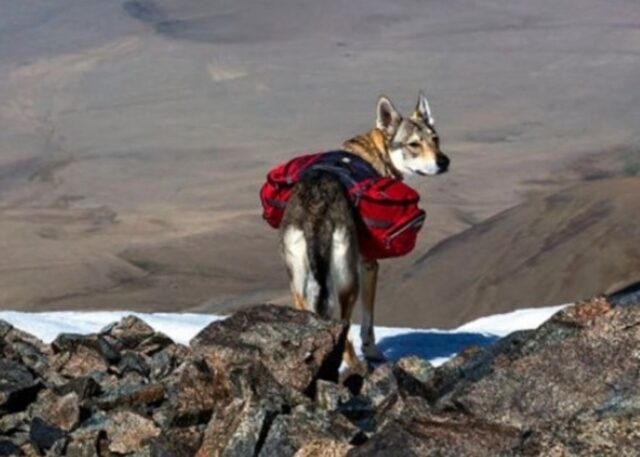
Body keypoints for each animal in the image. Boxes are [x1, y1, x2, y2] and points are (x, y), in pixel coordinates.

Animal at [280, 92, 450, 366]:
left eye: (435, 139)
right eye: (414, 144)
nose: (444, 161)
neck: (379, 153)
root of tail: (317, 204)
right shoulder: (369, 264)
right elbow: (368, 323)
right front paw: (373, 353)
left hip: (298, 282)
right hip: (348, 282)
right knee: (343, 327)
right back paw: (358, 367)